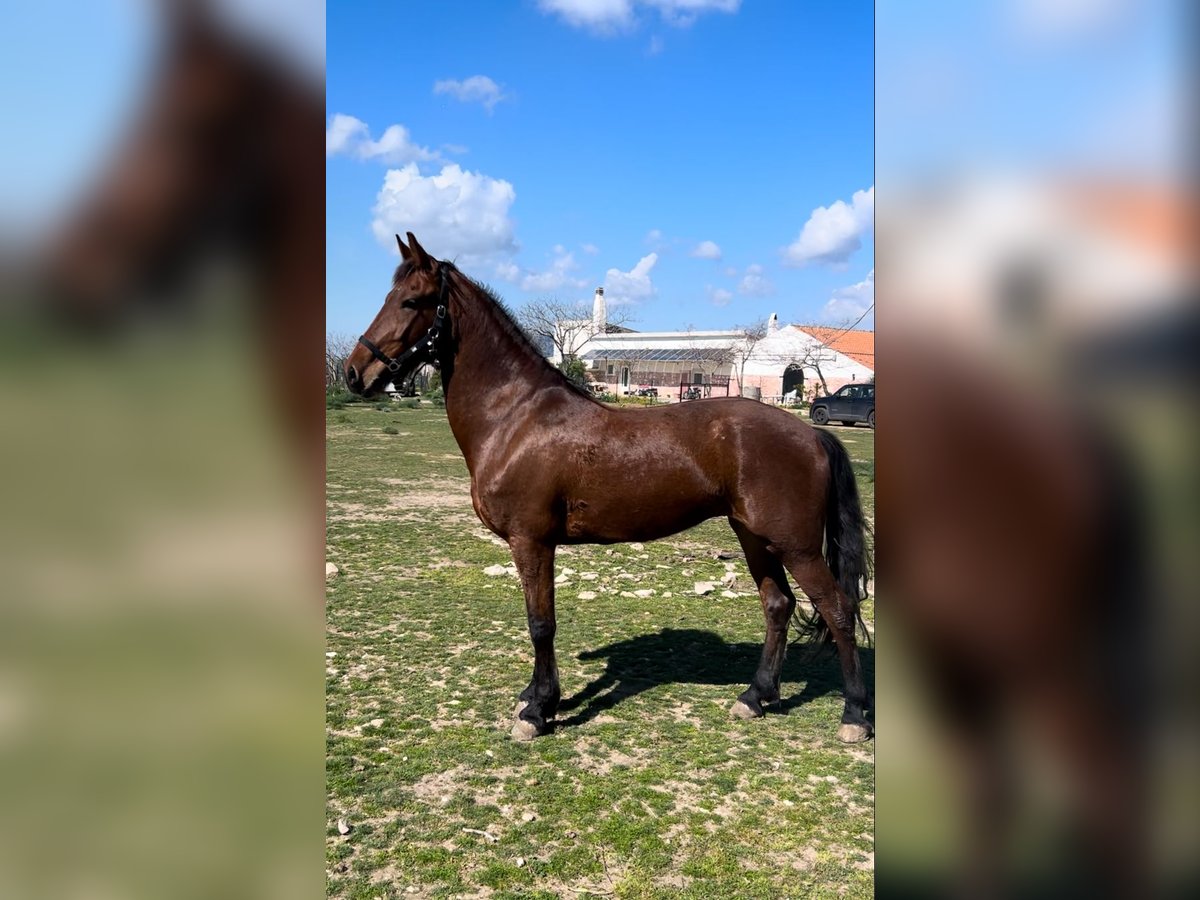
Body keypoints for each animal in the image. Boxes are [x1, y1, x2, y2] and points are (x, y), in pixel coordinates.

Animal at [345, 233, 873, 743]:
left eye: (411, 301)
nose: (354, 373)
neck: (516, 417)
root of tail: (812, 434)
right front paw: (535, 698)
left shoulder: (531, 541)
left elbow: (541, 624)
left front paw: (538, 711)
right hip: (754, 537)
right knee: (778, 606)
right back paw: (755, 697)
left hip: (795, 546)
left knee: (838, 610)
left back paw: (853, 715)